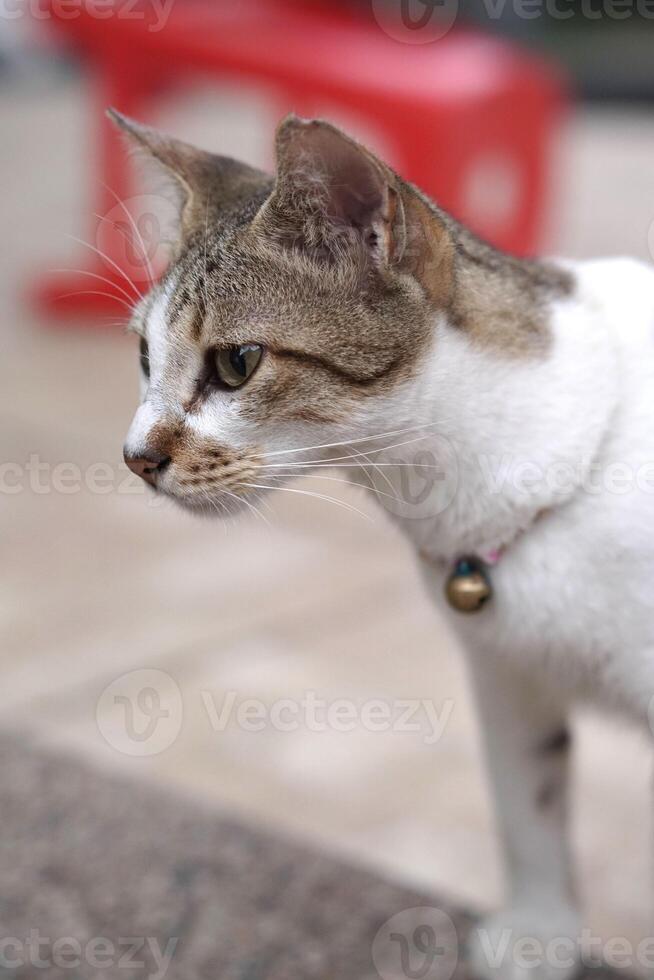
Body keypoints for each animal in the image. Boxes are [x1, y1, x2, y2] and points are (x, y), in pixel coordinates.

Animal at [113, 107, 654, 980]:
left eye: (237, 362)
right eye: (142, 357)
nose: (135, 458)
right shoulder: (506, 670)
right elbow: (527, 804)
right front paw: (539, 932)